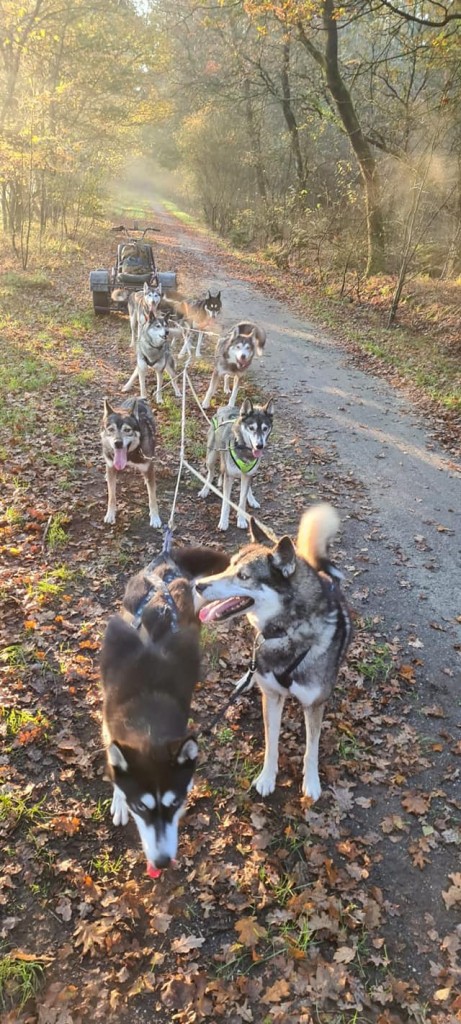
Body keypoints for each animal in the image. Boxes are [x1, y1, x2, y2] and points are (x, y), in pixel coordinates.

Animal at [99, 395, 160, 528]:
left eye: (127, 430)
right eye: (111, 429)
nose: (118, 443)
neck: (131, 455)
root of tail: (138, 397)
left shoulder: (149, 466)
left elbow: (152, 497)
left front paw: (155, 517)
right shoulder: (112, 466)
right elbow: (112, 496)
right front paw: (110, 514)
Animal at [100, 544, 230, 872]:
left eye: (174, 803)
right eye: (139, 806)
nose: (161, 862)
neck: (148, 722)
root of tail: (168, 567)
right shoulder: (109, 720)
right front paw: (118, 799)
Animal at [193, 507, 350, 802]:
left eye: (243, 576)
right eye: (230, 565)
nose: (198, 584)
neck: (287, 632)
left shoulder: (314, 705)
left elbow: (311, 749)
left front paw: (311, 782)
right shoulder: (273, 696)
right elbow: (271, 742)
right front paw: (267, 777)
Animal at [198, 397, 274, 532]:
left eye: (265, 428)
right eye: (251, 428)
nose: (259, 445)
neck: (243, 448)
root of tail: (227, 406)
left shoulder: (247, 474)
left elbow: (242, 500)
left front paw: (242, 519)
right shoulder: (229, 477)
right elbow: (226, 502)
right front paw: (223, 522)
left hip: (248, 474)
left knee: (247, 487)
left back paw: (251, 499)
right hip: (211, 457)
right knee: (211, 473)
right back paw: (205, 489)